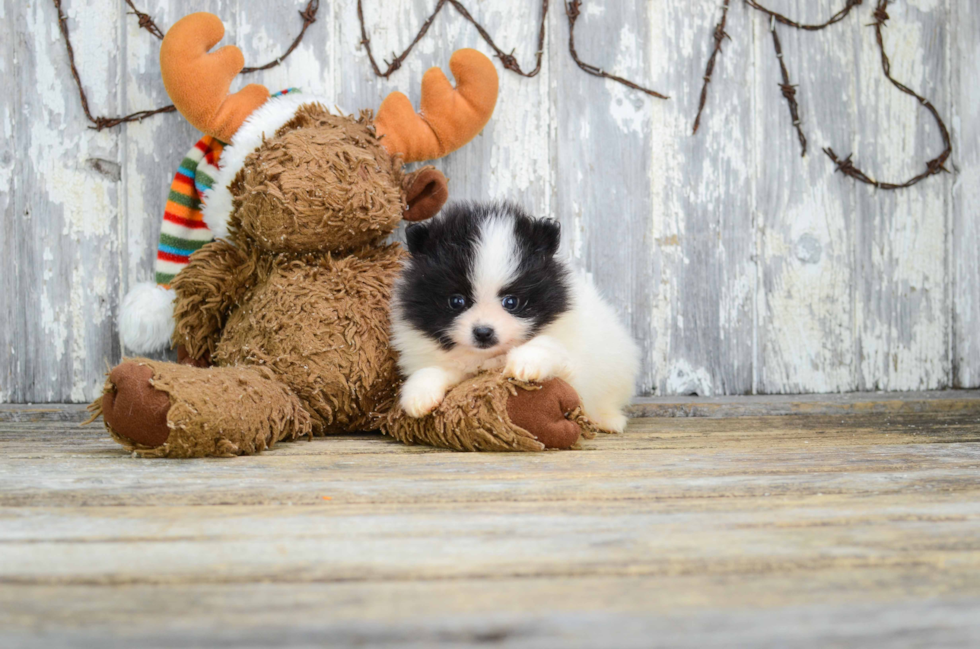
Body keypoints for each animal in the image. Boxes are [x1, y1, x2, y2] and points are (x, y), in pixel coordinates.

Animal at [392, 200, 644, 432]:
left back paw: (608, 420)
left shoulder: (571, 367)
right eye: (456, 302)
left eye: (511, 302)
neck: (489, 357)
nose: (483, 332)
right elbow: (434, 370)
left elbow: (549, 345)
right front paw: (418, 394)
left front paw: (527, 362)